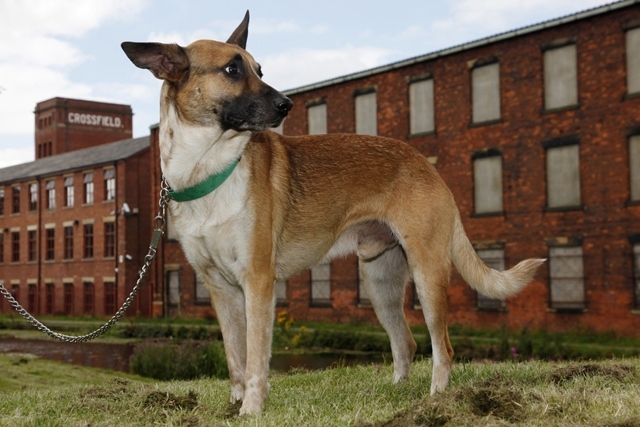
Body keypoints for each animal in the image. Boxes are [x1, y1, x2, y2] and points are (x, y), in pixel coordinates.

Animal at [124, 11, 544, 416]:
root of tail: (425, 164)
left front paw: (251, 409)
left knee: (443, 349)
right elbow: (235, 359)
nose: (287, 104)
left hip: (428, 275)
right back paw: (396, 393)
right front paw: (233, 404)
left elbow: (256, 359)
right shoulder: (220, 290)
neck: (209, 168)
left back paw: (434, 400)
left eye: (259, 69)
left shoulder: (258, 283)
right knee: (406, 343)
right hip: (380, 282)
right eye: (232, 69)